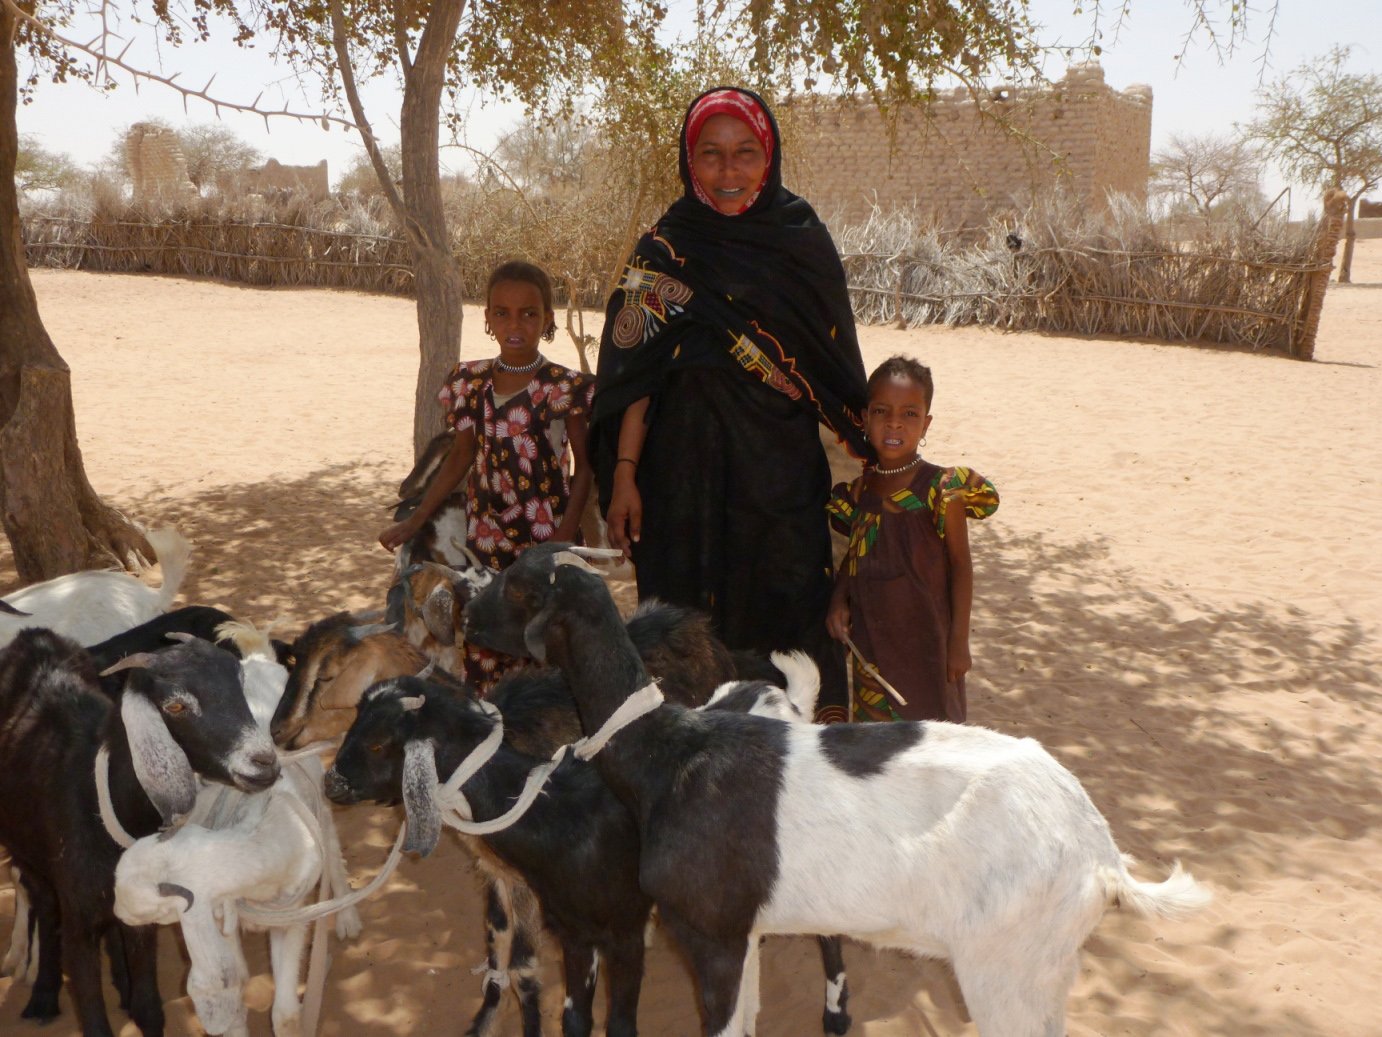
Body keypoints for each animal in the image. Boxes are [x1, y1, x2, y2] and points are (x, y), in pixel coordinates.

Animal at [0, 630, 277, 1034]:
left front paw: (134, 997)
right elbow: (92, 1013)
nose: (264, 763)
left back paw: (121, 984)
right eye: (175, 706)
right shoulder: (78, 917)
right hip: (29, 857)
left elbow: (149, 1005)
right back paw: (44, 997)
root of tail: (34, 636)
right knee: (46, 911)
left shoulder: (142, 912)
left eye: (239, 684)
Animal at [461, 544, 1210, 1037]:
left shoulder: (710, 931)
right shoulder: (746, 930)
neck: (668, 754)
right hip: (1049, 966)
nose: (467, 615)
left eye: (520, 585)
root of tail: (1100, 856)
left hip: (1003, 965)